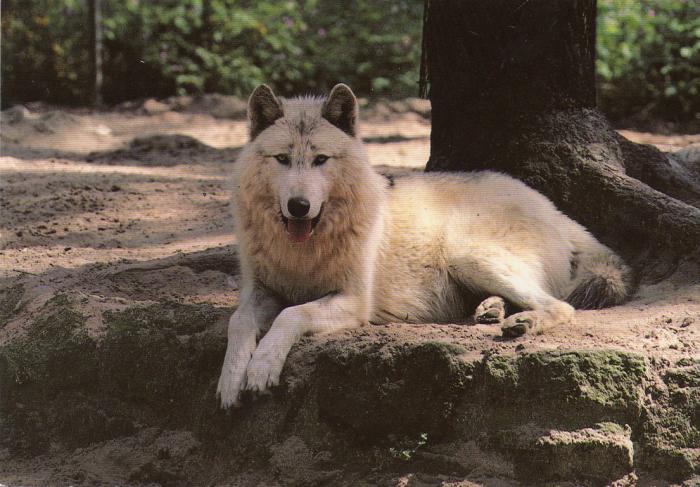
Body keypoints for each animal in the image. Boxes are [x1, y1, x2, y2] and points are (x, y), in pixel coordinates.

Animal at [217, 83, 632, 408]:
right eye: (283, 159)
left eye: (320, 159)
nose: (299, 206)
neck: (303, 251)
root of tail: (554, 209)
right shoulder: (262, 290)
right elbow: (238, 321)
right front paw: (231, 379)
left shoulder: (353, 301)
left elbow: (291, 315)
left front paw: (262, 367)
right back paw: (492, 310)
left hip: (468, 255)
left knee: (560, 305)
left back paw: (522, 322)